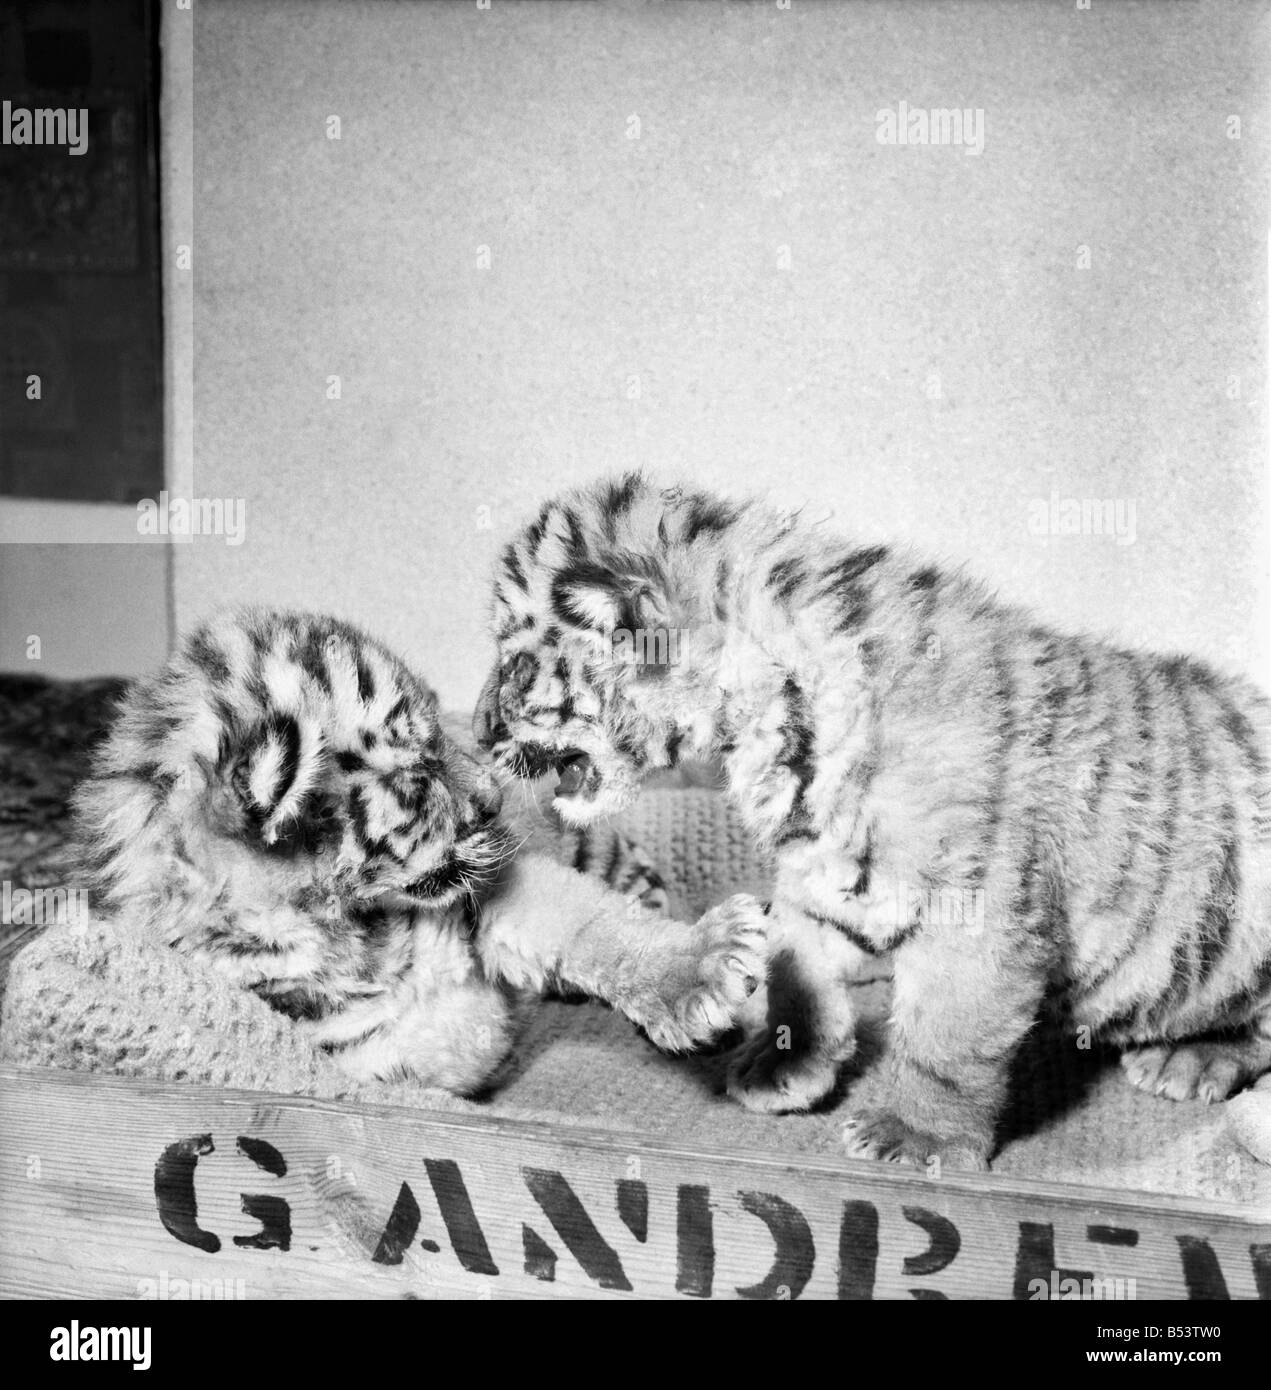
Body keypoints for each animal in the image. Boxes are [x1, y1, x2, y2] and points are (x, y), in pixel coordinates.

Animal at [72, 606, 765, 1095]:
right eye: (417, 769)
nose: (495, 797)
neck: (355, 928)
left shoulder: (498, 888)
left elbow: (588, 924)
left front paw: (703, 965)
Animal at [474, 473, 1271, 1169]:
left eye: (513, 664)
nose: (478, 733)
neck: (761, 723)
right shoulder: (819, 873)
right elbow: (795, 967)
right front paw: (782, 1064)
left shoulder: (974, 911)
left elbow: (948, 1038)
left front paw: (914, 1135)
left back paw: (1193, 1056)